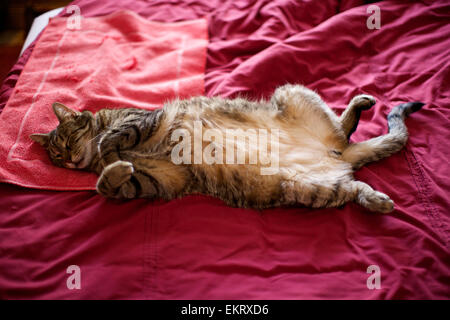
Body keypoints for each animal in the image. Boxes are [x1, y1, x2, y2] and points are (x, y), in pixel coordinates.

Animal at [30, 85, 422, 212]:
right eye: (57, 158)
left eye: (66, 143)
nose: (69, 159)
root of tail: (334, 154)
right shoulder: (158, 179)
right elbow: (111, 184)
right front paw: (113, 168)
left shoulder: (143, 119)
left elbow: (113, 136)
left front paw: (106, 147)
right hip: (309, 189)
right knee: (354, 183)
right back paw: (376, 200)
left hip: (290, 92)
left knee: (343, 131)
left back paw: (358, 104)